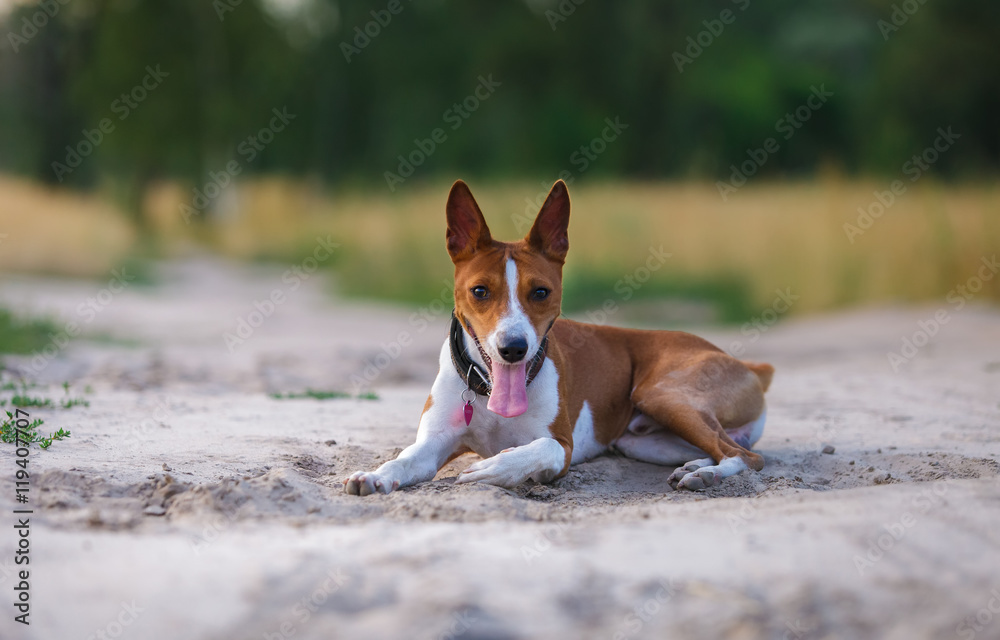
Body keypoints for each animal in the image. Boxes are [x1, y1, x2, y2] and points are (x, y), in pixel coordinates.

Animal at [344, 180, 772, 496]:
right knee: (722, 447)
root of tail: (750, 366)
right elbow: (404, 459)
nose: (513, 349)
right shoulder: (434, 443)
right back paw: (696, 465)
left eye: (540, 292)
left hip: (664, 395)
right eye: (480, 291)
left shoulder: (561, 446)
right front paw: (374, 476)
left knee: (746, 456)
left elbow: (537, 448)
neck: (490, 390)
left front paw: (493, 468)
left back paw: (706, 475)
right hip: (643, 440)